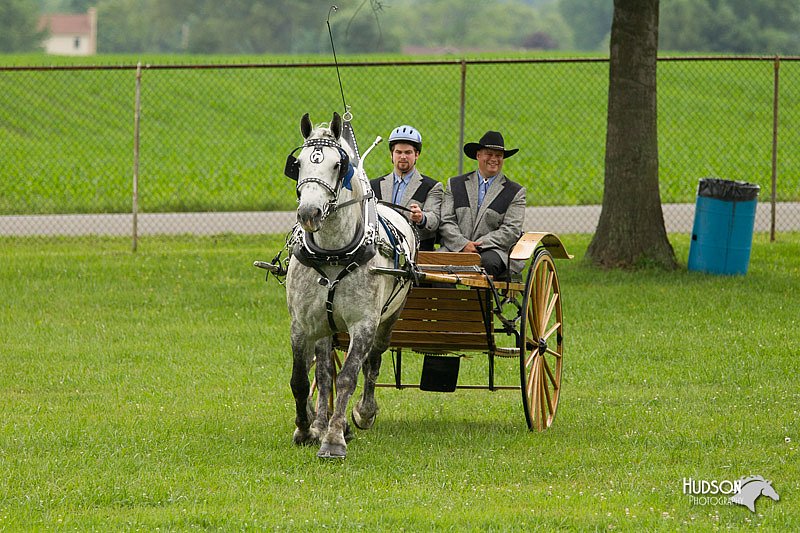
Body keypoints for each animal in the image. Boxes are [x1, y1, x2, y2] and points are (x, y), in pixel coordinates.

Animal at [282, 111, 418, 458]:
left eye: (337, 165)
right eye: (297, 164)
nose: (309, 213)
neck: (334, 253)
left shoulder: (364, 324)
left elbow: (348, 377)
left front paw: (334, 440)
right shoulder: (302, 324)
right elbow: (302, 379)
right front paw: (306, 429)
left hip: (389, 317)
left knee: (373, 362)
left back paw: (362, 414)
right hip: (326, 326)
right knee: (323, 370)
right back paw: (322, 421)